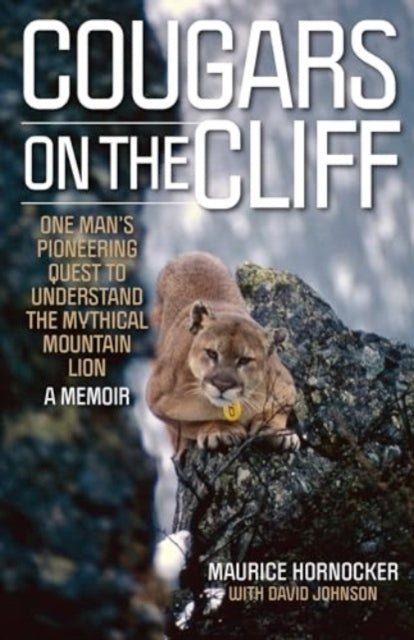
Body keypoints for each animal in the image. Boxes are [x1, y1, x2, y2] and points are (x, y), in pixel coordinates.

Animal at [146, 252, 299, 454]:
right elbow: (188, 424)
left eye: (244, 360)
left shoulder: (286, 386)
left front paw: (277, 432)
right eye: (212, 353)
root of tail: (190, 254)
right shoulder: (156, 399)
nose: (222, 385)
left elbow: (278, 411)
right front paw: (220, 430)